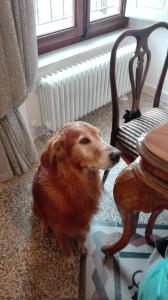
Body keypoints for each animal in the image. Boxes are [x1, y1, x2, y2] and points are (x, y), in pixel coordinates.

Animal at [32, 120, 120, 266]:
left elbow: (81, 233)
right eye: (84, 140)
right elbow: (64, 244)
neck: (76, 184)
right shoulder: (58, 225)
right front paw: (69, 258)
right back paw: (44, 226)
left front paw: (82, 244)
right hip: (35, 205)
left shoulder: (84, 216)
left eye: (99, 134)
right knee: (43, 217)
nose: (118, 154)